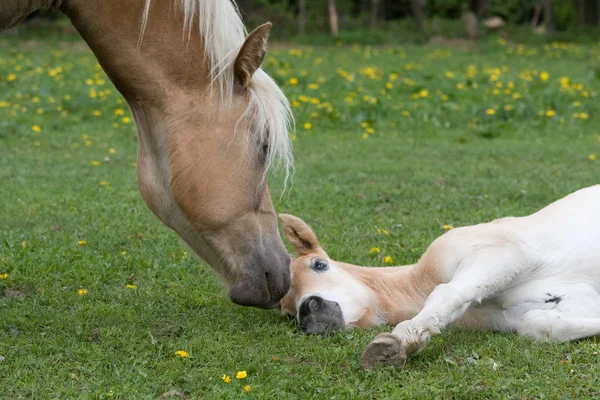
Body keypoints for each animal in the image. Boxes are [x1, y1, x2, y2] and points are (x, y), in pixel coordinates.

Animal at [278, 186, 600, 370]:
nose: (309, 311)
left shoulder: (504, 251)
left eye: (320, 264)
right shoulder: (568, 302)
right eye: (287, 313)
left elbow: (447, 293)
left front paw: (401, 340)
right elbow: (537, 326)